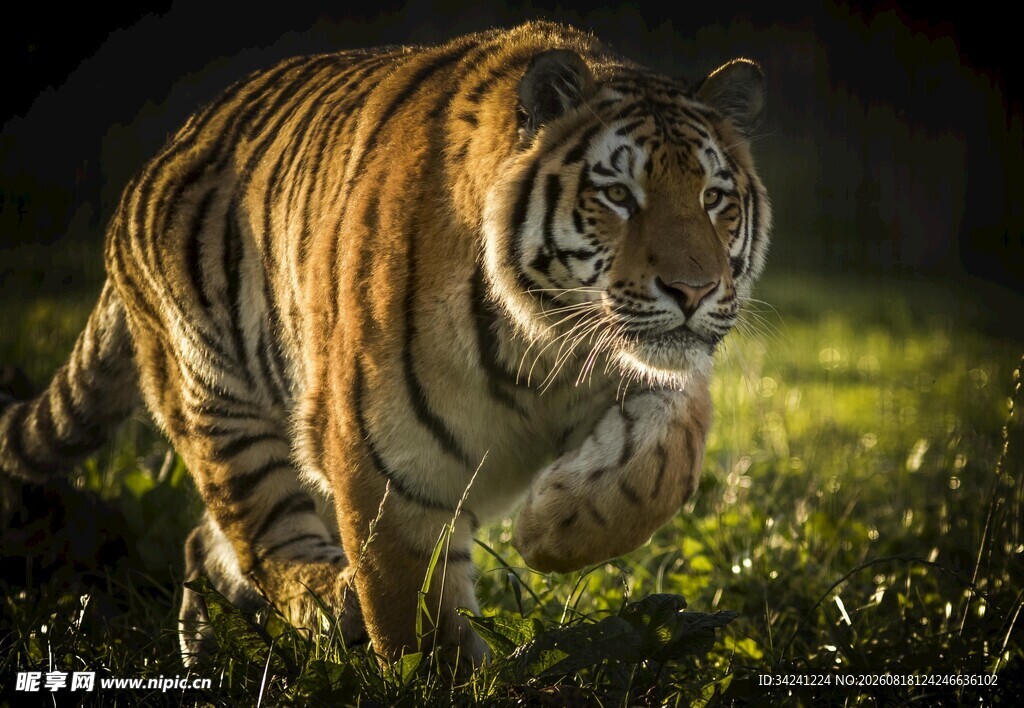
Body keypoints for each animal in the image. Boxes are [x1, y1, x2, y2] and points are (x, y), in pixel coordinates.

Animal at [0, 21, 770, 669]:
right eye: (617, 195)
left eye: (714, 198)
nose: (694, 290)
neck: (544, 348)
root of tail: (150, 167)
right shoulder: (383, 462)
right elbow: (414, 612)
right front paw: (445, 676)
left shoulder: (655, 374)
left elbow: (664, 466)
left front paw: (550, 528)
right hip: (219, 401)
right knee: (262, 544)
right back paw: (327, 604)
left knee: (205, 545)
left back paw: (213, 662)